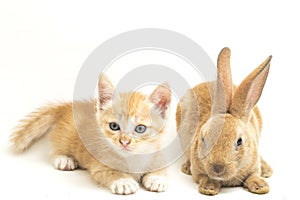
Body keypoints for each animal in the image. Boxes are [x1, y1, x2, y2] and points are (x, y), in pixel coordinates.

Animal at [10, 74, 171, 195]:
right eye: (114, 126)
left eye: (140, 129)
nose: (124, 142)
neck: (133, 158)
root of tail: (67, 106)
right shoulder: (99, 164)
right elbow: (110, 172)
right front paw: (123, 181)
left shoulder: (159, 152)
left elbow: (161, 168)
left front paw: (156, 178)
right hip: (66, 136)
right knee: (55, 148)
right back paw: (63, 159)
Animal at [177, 47, 274, 195]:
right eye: (204, 140)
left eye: (239, 141)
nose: (218, 168)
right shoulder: (198, 171)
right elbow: (203, 176)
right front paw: (209, 188)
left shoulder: (253, 166)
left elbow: (253, 175)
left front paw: (260, 186)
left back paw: (266, 170)